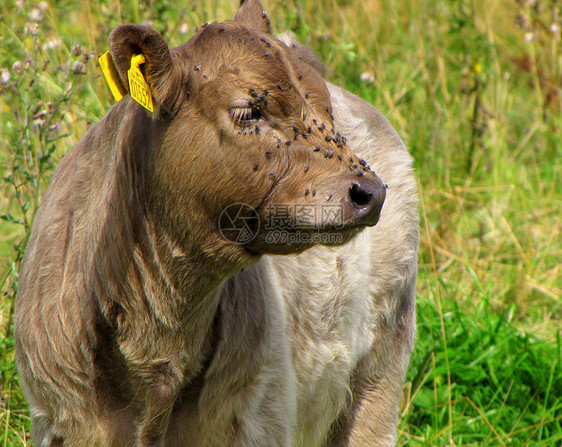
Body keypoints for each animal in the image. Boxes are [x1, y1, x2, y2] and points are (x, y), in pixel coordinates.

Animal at [14, 1, 416, 446]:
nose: (370, 192)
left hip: (381, 369)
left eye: (327, 110)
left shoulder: (256, 417)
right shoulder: (59, 418)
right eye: (248, 111)